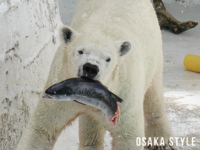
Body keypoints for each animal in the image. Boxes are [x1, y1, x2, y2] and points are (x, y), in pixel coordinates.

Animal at [17, 0, 174, 150]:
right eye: (80, 51)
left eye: (108, 59)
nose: (91, 68)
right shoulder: (59, 83)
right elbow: (42, 128)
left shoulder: (124, 92)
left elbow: (127, 135)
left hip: (154, 49)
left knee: (154, 95)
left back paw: (162, 142)